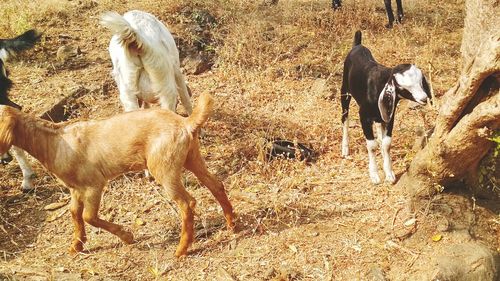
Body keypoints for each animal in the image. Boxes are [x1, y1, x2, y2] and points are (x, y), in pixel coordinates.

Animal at [0, 93, 234, 256]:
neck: (54, 142)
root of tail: (185, 123)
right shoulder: (75, 188)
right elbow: (75, 213)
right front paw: (77, 245)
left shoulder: (94, 184)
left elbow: (89, 216)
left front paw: (127, 236)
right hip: (191, 157)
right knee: (215, 184)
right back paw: (232, 224)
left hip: (164, 167)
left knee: (187, 203)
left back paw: (181, 249)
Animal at [342, 31, 432, 184]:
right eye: (402, 87)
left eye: (420, 81)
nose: (423, 98)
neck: (379, 85)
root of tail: (357, 45)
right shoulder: (363, 116)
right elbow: (372, 146)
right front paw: (374, 175)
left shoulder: (390, 115)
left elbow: (386, 143)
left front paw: (389, 173)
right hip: (345, 91)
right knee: (344, 118)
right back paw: (345, 149)